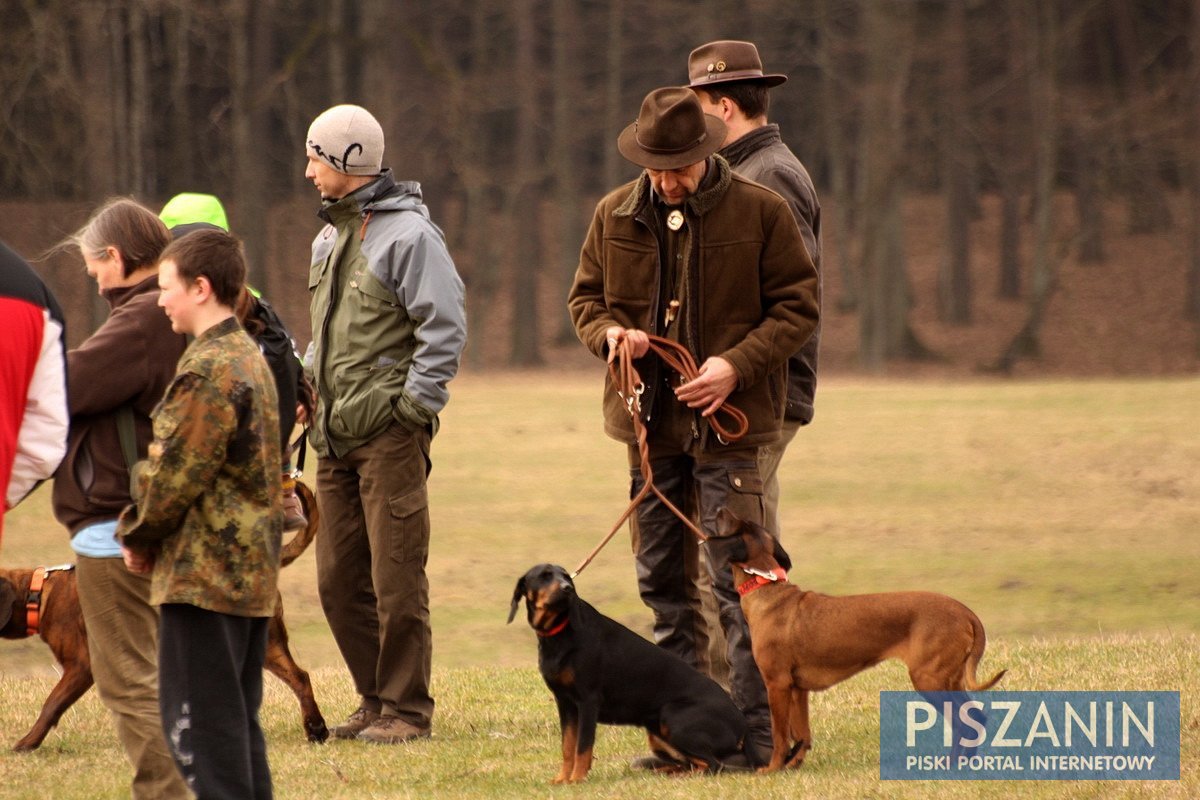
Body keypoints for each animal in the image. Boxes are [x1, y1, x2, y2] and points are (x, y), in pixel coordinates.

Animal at [1, 482, 328, 753]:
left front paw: (28, 742)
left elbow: (52, 704)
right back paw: (314, 729)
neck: (37, 592)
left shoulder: (81, 666)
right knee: (298, 678)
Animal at [508, 563, 758, 782]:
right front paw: (562, 779)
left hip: (672, 717)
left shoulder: (588, 700)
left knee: (714, 765)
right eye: (544, 576)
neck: (559, 633)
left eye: (566, 577)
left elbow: (583, 746)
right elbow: (567, 747)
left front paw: (577, 779)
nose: (567, 588)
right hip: (657, 732)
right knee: (693, 763)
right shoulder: (565, 703)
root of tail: (742, 724)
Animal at [705, 510, 1008, 772]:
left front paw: (773, 769)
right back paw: (965, 762)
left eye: (733, 523)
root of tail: (965, 612)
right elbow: (802, 734)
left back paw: (952, 764)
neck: (767, 589)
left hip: (929, 679)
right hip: (950, 678)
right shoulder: (798, 689)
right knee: (975, 717)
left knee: (962, 722)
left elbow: (780, 735)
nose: (720, 509)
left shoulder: (777, 684)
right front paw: (794, 765)